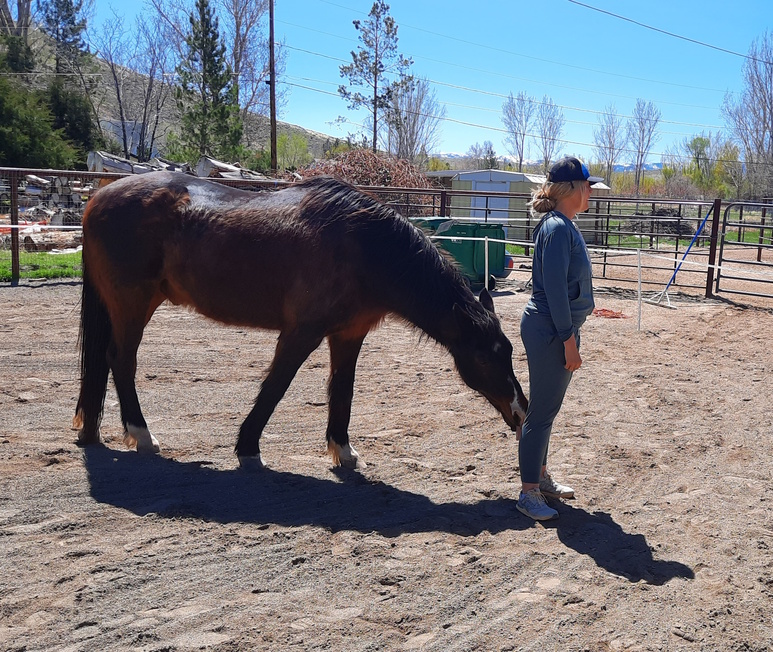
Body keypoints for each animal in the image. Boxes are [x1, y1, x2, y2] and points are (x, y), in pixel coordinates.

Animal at [74, 172, 528, 471]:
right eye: (485, 357)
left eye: (508, 352)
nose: (522, 412)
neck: (363, 245)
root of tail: (98, 196)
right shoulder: (301, 333)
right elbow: (276, 386)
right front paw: (248, 447)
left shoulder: (349, 335)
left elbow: (343, 391)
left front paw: (343, 451)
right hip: (133, 304)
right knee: (122, 360)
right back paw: (142, 435)